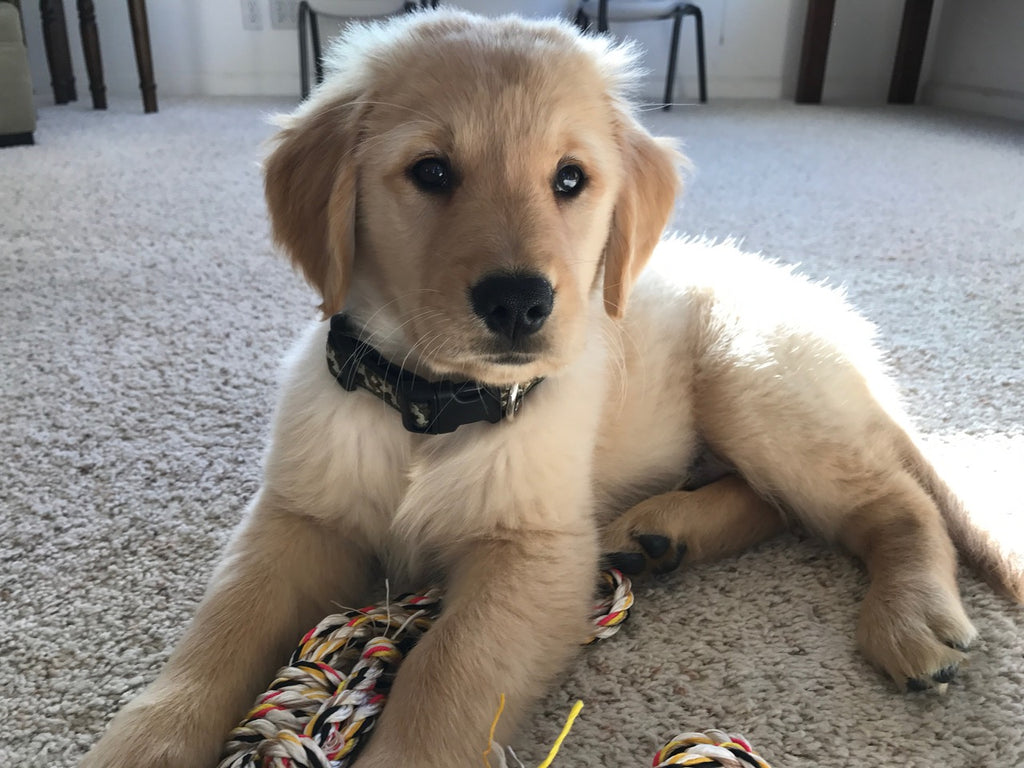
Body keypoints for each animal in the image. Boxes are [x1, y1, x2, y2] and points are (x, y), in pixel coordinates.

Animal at [81, 7, 1024, 768]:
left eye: (570, 179)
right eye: (431, 172)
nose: (518, 301)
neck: (431, 406)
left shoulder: (534, 552)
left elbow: (445, 671)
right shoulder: (295, 516)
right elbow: (218, 634)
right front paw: (146, 743)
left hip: (753, 376)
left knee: (892, 501)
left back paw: (911, 616)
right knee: (780, 503)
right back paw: (661, 534)